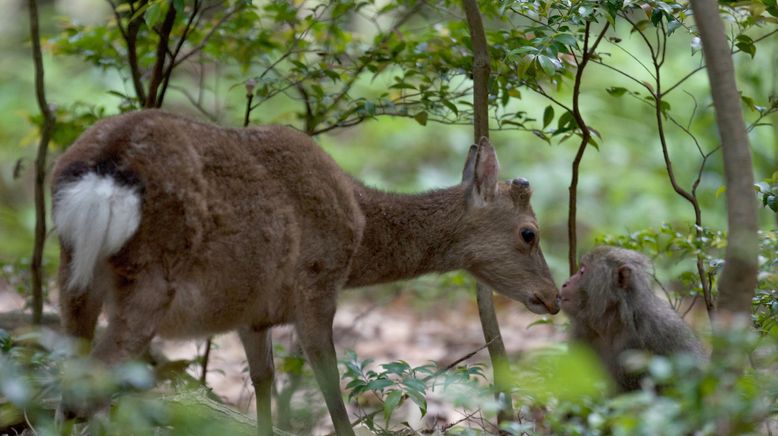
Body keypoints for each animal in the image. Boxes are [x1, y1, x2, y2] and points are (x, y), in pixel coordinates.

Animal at [53, 110, 556, 436]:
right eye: (529, 233)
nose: (552, 297)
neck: (360, 234)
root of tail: (106, 168)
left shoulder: (252, 314)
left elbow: (263, 382)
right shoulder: (317, 286)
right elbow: (331, 389)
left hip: (73, 276)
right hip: (152, 278)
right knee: (84, 391)